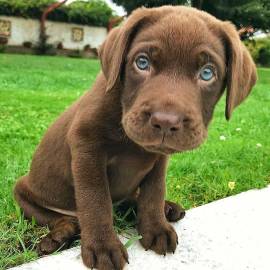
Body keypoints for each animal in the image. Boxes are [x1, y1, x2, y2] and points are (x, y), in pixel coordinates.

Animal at [13, 5, 256, 270]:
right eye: (142, 62)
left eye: (207, 73)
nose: (165, 121)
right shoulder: (87, 148)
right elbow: (95, 199)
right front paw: (102, 246)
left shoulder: (159, 160)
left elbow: (154, 191)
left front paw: (156, 227)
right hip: (24, 191)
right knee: (61, 218)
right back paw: (59, 235)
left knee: (129, 199)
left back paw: (167, 208)